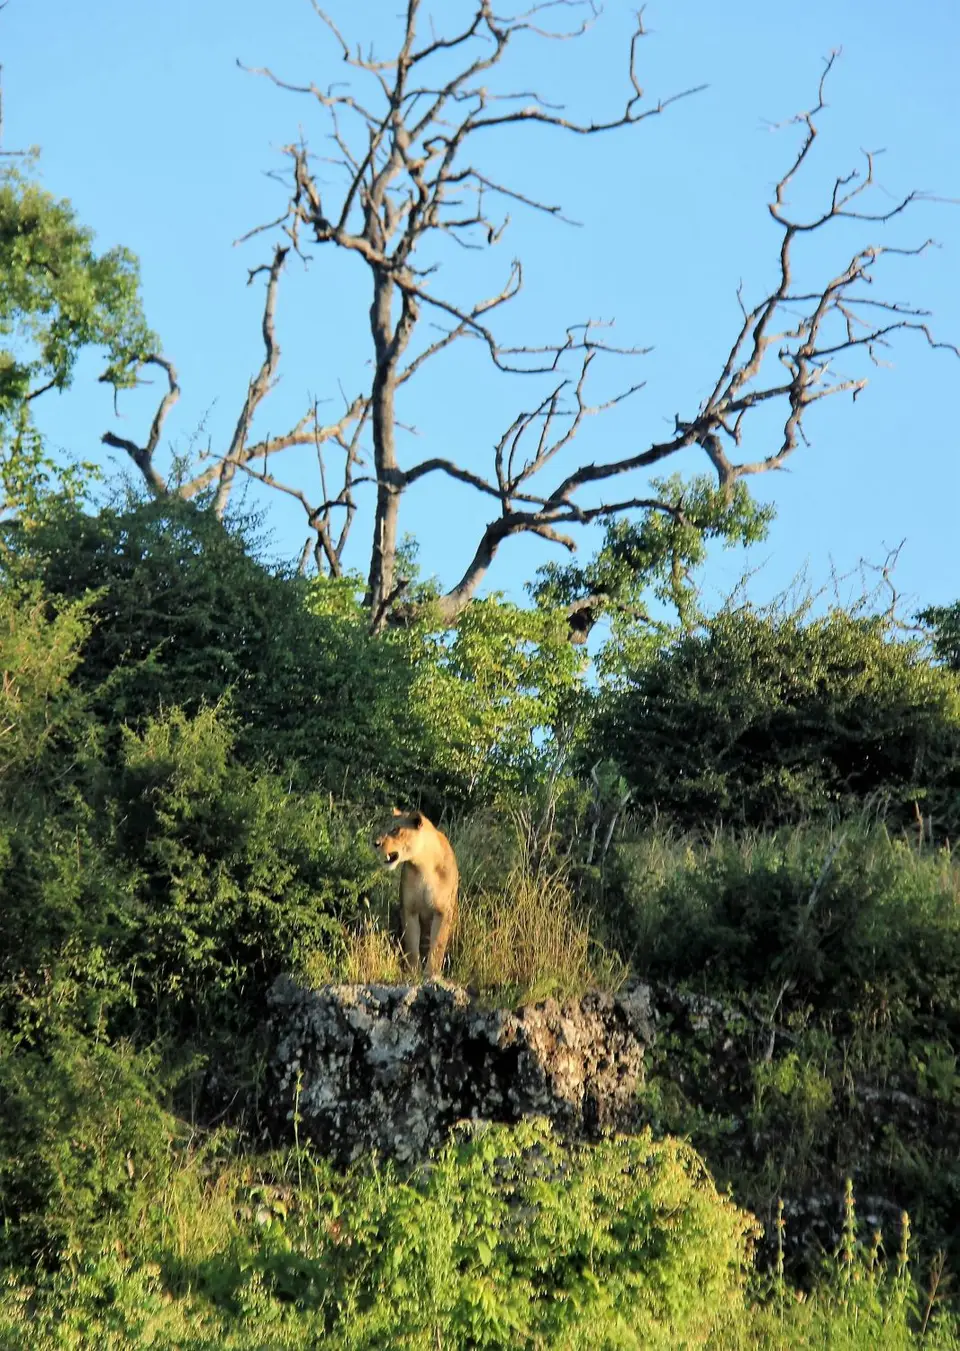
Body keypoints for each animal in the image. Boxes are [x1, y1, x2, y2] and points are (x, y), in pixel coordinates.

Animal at [374, 808, 459, 977]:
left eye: (395, 830)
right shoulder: (409, 909)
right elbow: (412, 945)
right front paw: (413, 972)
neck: (423, 865)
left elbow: (438, 944)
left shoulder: (443, 911)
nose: (375, 844)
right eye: (384, 826)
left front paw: (431, 973)